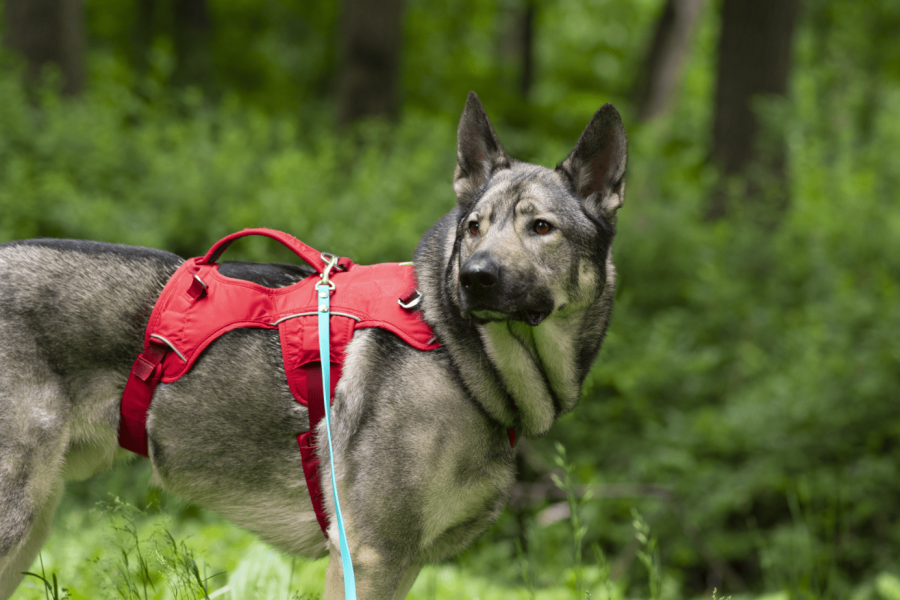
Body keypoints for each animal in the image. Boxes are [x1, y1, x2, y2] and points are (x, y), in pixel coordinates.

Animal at [0, 91, 628, 596]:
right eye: (474, 226)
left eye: (541, 228)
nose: (474, 277)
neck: (453, 350)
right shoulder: (371, 556)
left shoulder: (402, 563)